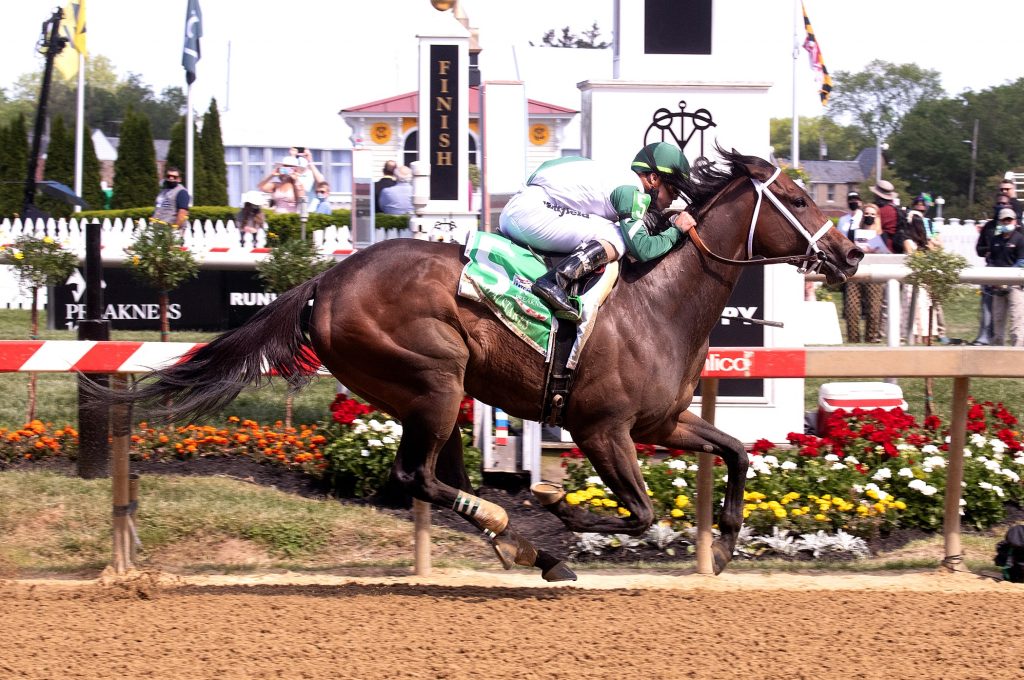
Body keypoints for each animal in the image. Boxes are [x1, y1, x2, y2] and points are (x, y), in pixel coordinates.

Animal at [97, 148, 864, 577]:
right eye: (796, 198)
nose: (852, 253)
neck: (657, 302)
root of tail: (325, 281)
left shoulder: (661, 422)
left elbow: (735, 450)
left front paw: (728, 545)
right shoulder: (601, 428)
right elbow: (641, 511)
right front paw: (556, 505)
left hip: (428, 392)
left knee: (437, 478)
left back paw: (522, 547)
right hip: (434, 379)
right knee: (417, 476)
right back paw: (526, 540)